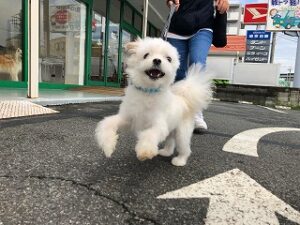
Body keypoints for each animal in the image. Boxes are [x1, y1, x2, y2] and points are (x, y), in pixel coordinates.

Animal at [95, 37, 212, 166]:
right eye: (146, 55)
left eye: (168, 59)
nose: (157, 60)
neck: (148, 91)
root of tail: (184, 100)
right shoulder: (127, 118)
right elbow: (108, 123)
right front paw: (107, 146)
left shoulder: (158, 124)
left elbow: (149, 135)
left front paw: (144, 151)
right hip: (171, 130)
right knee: (170, 142)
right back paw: (166, 152)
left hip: (182, 133)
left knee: (185, 149)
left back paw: (180, 160)